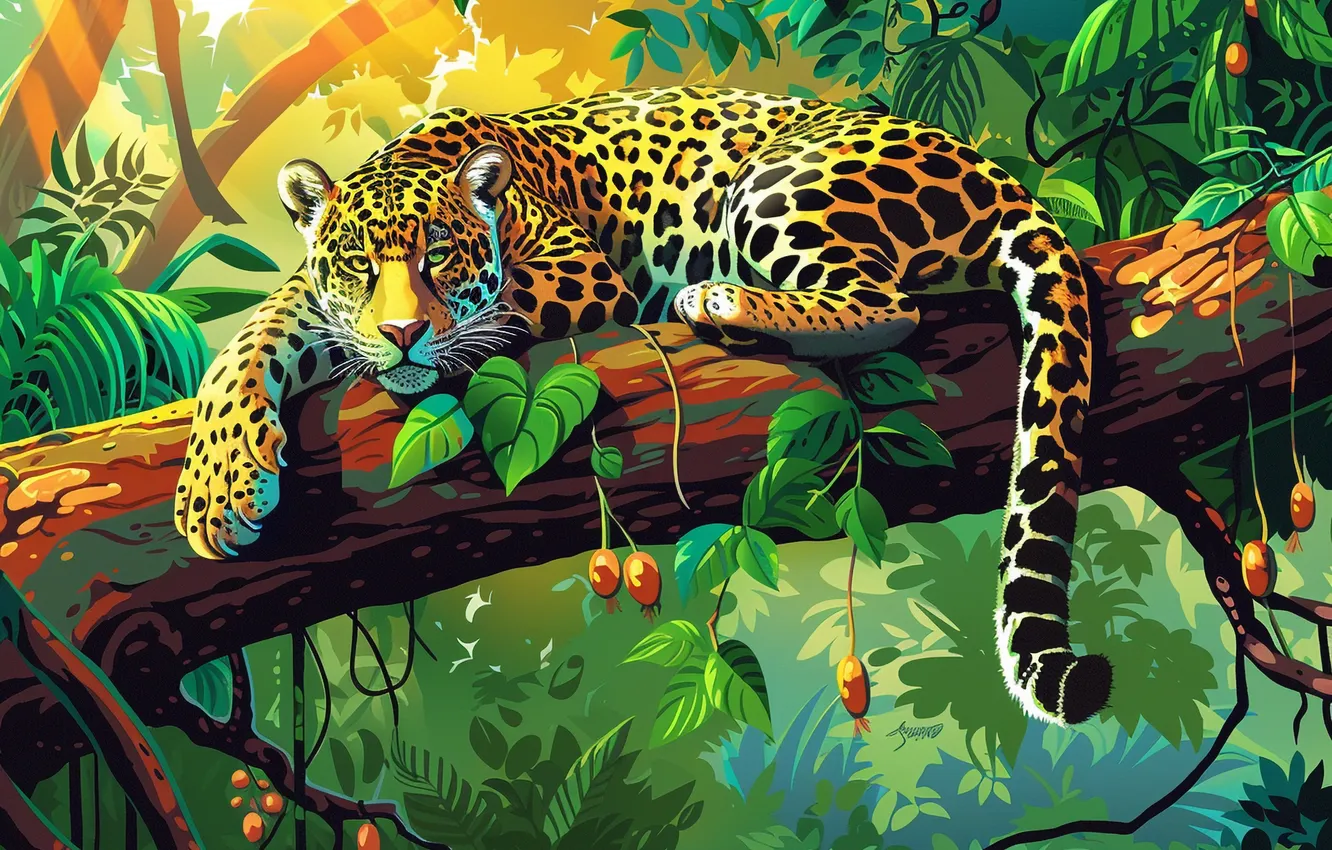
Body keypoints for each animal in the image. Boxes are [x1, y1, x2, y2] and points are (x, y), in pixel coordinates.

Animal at [174, 84, 1106, 728]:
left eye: (441, 257)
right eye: (361, 265)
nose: (403, 332)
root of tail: (993, 172)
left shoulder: (578, 269)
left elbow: (490, 309)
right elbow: (263, 328)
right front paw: (216, 489)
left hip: (779, 183)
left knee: (889, 303)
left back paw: (719, 300)